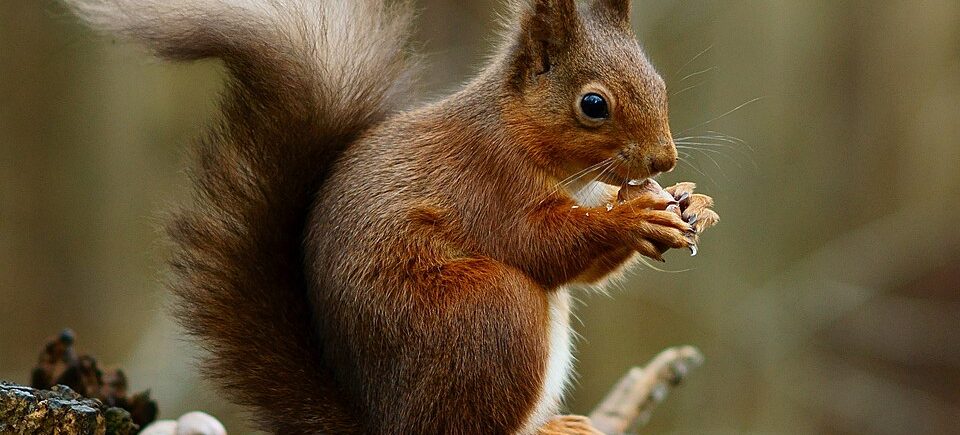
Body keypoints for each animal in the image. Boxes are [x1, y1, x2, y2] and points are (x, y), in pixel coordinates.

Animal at [63, 0, 719, 433]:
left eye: (659, 81)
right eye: (593, 105)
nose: (664, 158)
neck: (522, 137)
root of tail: (384, 423)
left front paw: (691, 202)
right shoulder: (486, 185)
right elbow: (542, 245)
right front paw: (634, 217)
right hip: (489, 314)